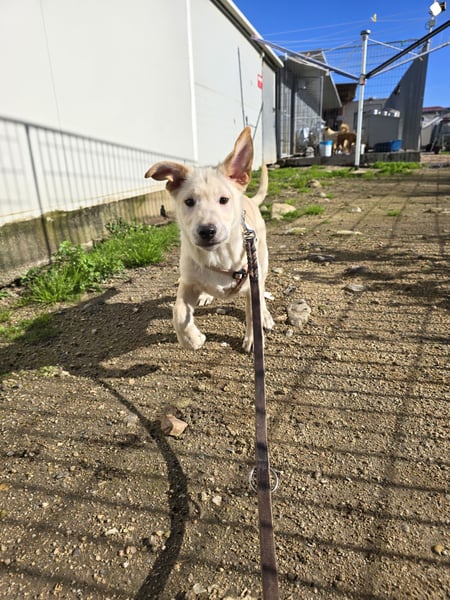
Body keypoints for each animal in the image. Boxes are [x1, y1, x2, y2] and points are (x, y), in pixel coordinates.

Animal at [145, 127, 274, 352]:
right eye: (189, 202)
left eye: (224, 200)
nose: (207, 231)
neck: (218, 256)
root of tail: (249, 199)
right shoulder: (187, 282)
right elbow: (178, 312)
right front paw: (192, 339)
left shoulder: (252, 286)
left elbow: (252, 313)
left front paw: (253, 339)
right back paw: (206, 295)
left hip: (262, 263)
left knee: (262, 292)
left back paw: (265, 316)